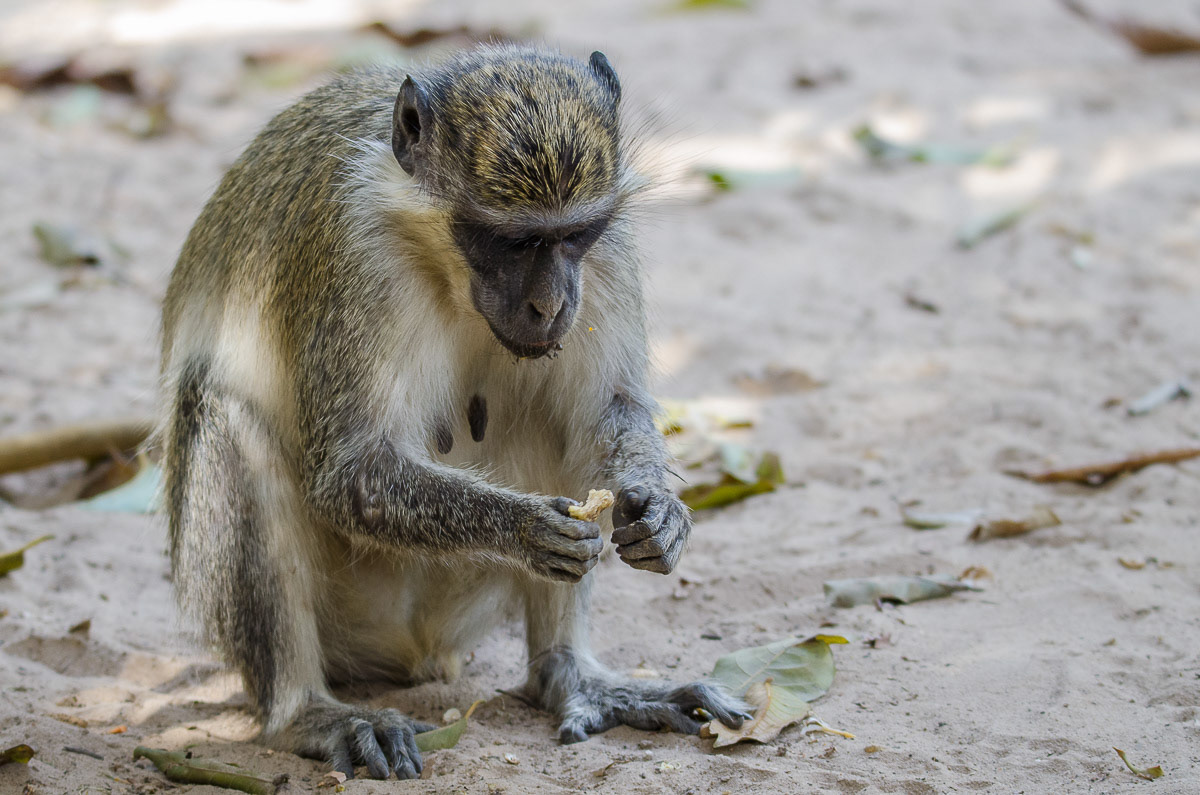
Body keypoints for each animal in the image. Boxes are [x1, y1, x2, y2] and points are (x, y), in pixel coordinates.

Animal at [160, 44, 749, 781]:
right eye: (511, 241)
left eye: (575, 234)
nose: (552, 305)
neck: (437, 253)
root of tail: (419, 655)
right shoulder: (353, 251)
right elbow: (350, 472)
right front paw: (524, 527)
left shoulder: (606, 257)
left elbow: (610, 408)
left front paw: (661, 513)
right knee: (228, 422)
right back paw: (306, 712)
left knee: (559, 424)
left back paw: (572, 676)